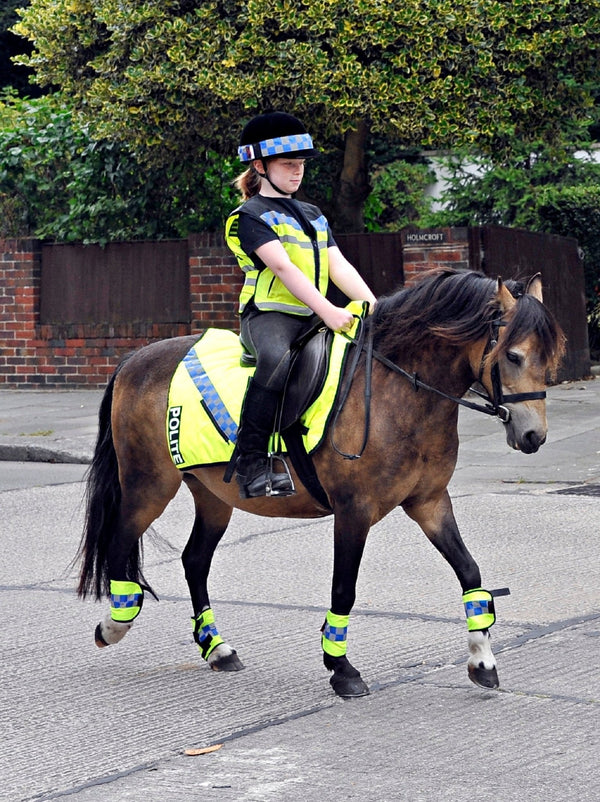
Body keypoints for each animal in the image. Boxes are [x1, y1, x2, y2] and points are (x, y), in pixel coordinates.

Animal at [76, 268, 564, 698]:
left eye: (550, 358)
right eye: (513, 356)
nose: (533, 436)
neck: (396, 391)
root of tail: (134, 360)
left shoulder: (429, 501)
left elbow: (469, 571)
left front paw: (482, 659)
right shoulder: (353, 511)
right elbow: (343, 589)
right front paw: (342, 669)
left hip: (213, 496)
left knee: (194, 560)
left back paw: (217, 649)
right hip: (149, 486)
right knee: (120, 543)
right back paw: (114, 625)